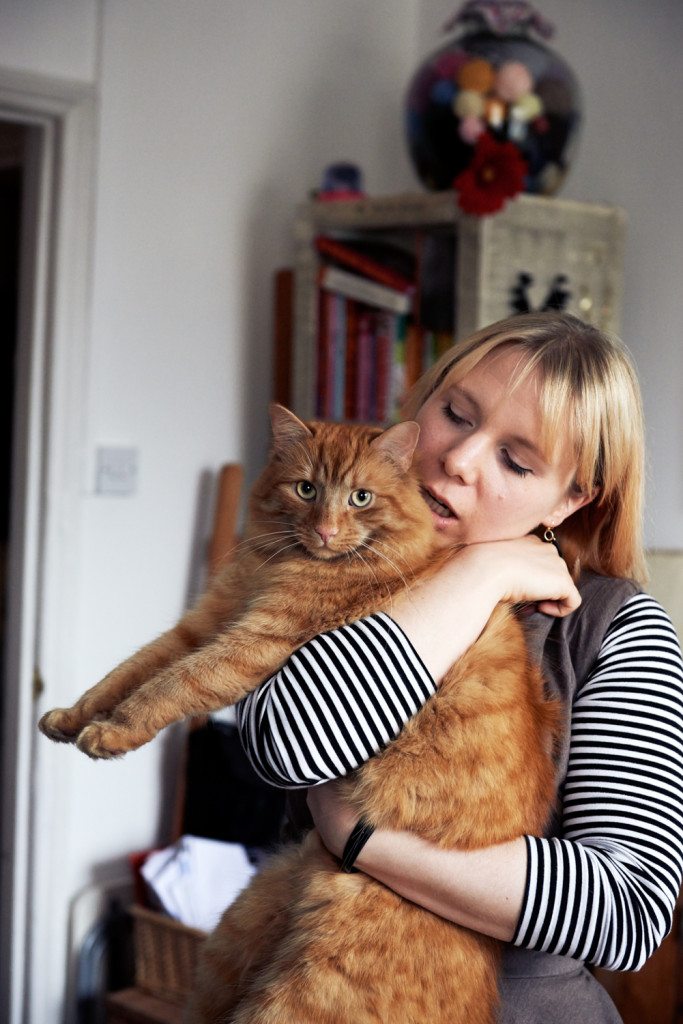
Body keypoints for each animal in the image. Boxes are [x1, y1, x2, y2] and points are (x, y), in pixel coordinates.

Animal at [39, 404, 558, 1023]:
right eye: (306, 488)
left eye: (360, 497)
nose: (327, 531)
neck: (279, 563)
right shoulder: (205, 623)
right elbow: (125, 675)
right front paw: (70, 718)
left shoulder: (250, 643)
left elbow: (167, 687)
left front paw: (111, 734)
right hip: (233, 940)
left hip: (298, 998)